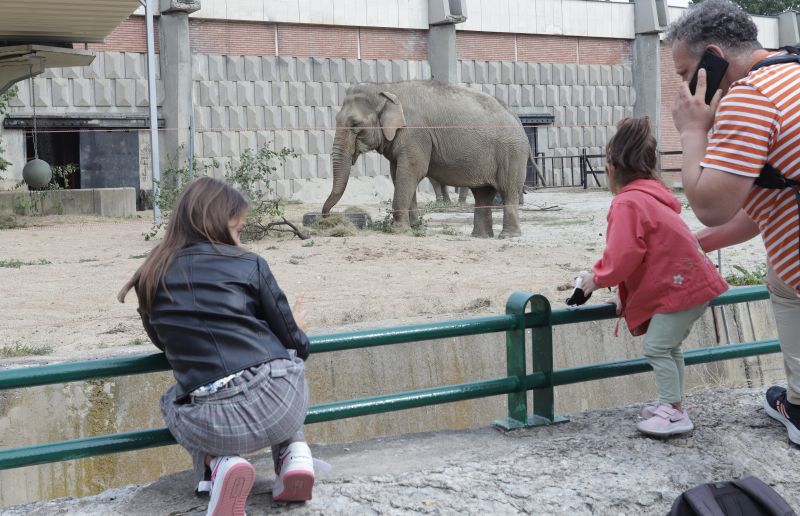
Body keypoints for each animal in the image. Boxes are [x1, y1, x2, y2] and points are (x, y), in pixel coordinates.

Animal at [321, 81, 531, 238]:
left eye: (356, 124)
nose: (326, 217)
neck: (387, 88)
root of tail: (516, 117)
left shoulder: (416, 133)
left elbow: (411, 171)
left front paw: (399, 230)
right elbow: (398, 174)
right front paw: (415, 228)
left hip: (512, 153)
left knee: (508, 190)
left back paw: (507, 236)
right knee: (482, 193)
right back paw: (480, 236)